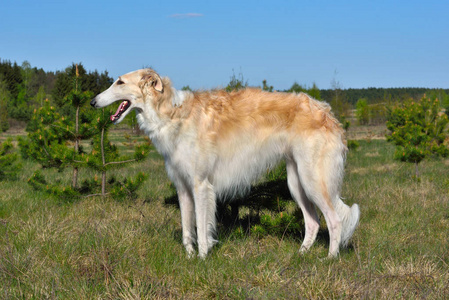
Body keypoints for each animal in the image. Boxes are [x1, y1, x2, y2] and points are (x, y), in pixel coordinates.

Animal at [89, 68, 358, 258]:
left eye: (119, 82)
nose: (92, 102)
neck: (173, 113)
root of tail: (328, 114)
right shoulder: (183, 186)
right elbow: (187, 229)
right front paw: (189, 258)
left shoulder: (200, 185)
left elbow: (201, 227)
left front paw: (202, 258)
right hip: (296, 181)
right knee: (313, 222)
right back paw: (300, 255)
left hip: (313, 179)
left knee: (334, 220)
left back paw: (330, 258)